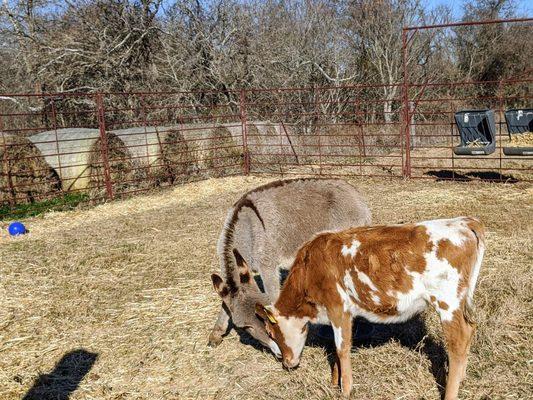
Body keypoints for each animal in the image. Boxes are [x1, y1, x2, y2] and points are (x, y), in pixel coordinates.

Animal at [256, 217, 484, 398]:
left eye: (271, 332)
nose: (286, 362)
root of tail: (463, 222)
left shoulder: (338, 307)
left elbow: (342, 347)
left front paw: (346, 389)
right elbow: (334, 346)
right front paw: (334, 381)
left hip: (447, 303)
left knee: (458, 341)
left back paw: (451, 391)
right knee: (470, 330)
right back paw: (462, 377)